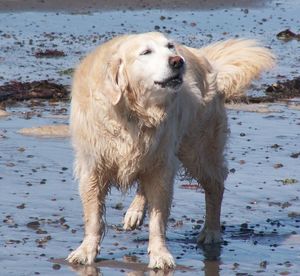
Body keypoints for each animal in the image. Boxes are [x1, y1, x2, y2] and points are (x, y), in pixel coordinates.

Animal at [67, 32, 276, 270]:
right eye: (146, 52)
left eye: (169, 46)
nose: (177, 61)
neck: (133, 113)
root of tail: (204, 59)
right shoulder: (93, 167)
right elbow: (93, 217)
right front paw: (85, 251)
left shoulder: (162, 166)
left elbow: (158, 220)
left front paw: (160, 255)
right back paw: (135, 212)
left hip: (198, 150)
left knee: (216, 185)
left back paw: (211, 231)